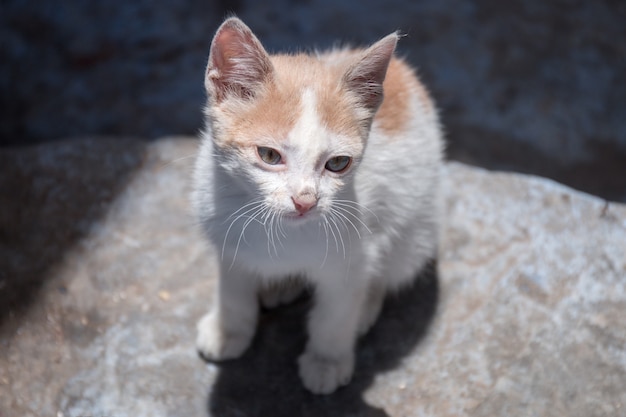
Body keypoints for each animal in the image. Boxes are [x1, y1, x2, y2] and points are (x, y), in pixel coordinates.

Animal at [193, 17, 442, 394]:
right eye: (269, 155)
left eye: (338, 163)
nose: (305, 200)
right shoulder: (227, 236)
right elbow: (233, 288)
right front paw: (228, 330)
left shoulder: (354, 255)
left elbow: (336, 312)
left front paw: (328, 360)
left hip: (416, 232)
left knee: (390, 265)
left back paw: (365, 307)